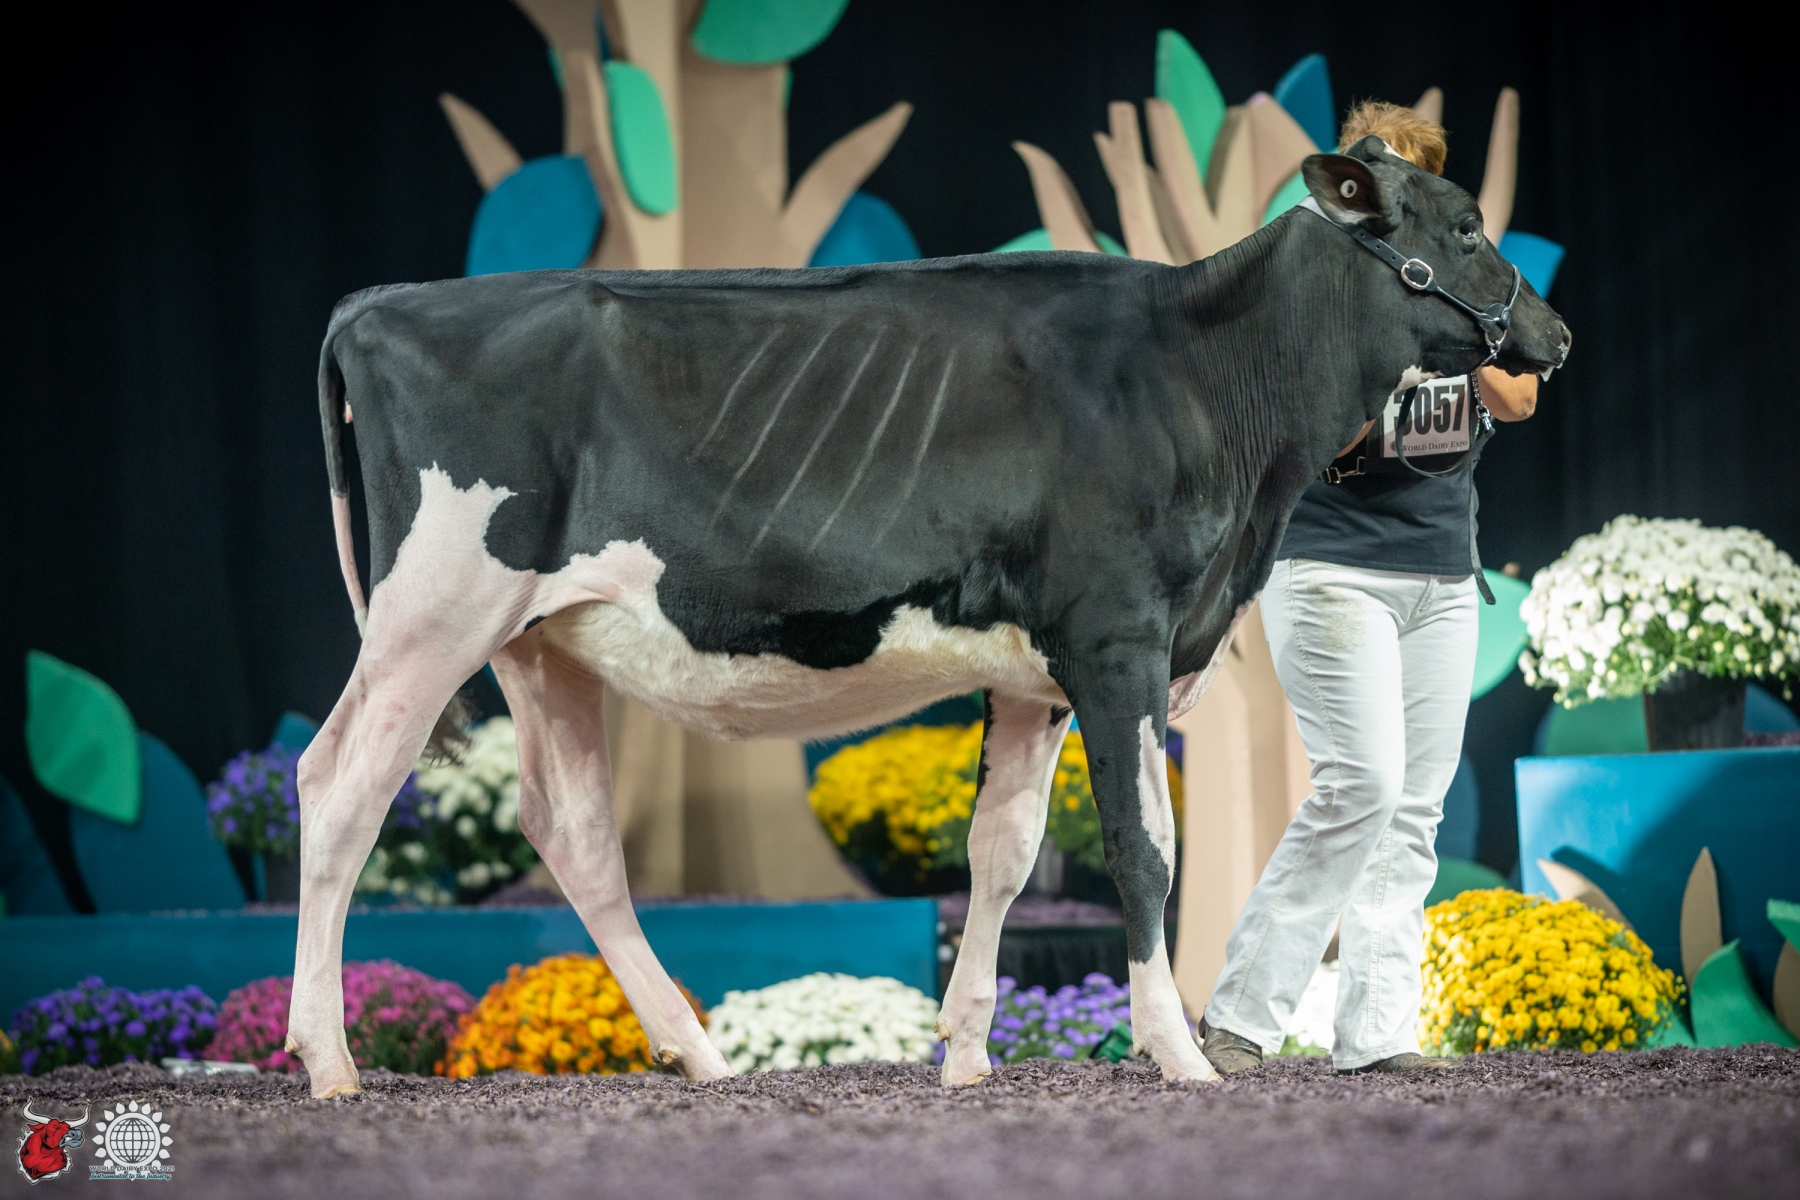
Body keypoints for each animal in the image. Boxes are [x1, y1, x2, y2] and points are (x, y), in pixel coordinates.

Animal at [287, 138, 1568, 1097]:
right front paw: (1177, 1054)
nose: (1552, 335)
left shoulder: (1033, 672)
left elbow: (1001, 852)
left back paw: (697, 1052)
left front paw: (962, 1055)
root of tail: (378, 303)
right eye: (1463, 224)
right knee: (339, 787)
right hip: (432, 614)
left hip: (534, 640)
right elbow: (1144, 849)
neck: (1211, 386)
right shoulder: (1120, 639)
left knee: (573, 832)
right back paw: (329, 1061)